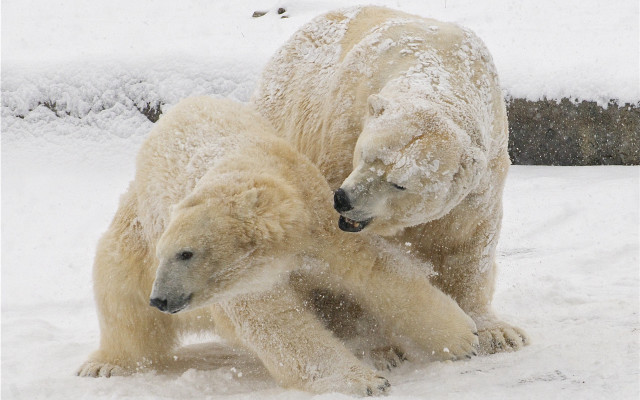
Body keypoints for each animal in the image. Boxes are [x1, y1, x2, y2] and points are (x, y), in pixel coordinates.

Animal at [76, 96, 479, 396]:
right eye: (170, 253)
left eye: (185, 253)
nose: (160, 299)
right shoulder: (247, 280)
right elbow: (277, 324)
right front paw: (366, 381)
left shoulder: (317, 221)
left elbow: (374, 270)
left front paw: (463, 337)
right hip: (135, 235)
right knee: (120, 294)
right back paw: (103, 363)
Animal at [252, 6, 528, 354]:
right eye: (365, 154)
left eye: (399, 183)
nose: (344, 199)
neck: (436, 69)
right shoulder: (343, 129)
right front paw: (377, 348)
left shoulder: (485, 167)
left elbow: (469, 240)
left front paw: (498, 333)